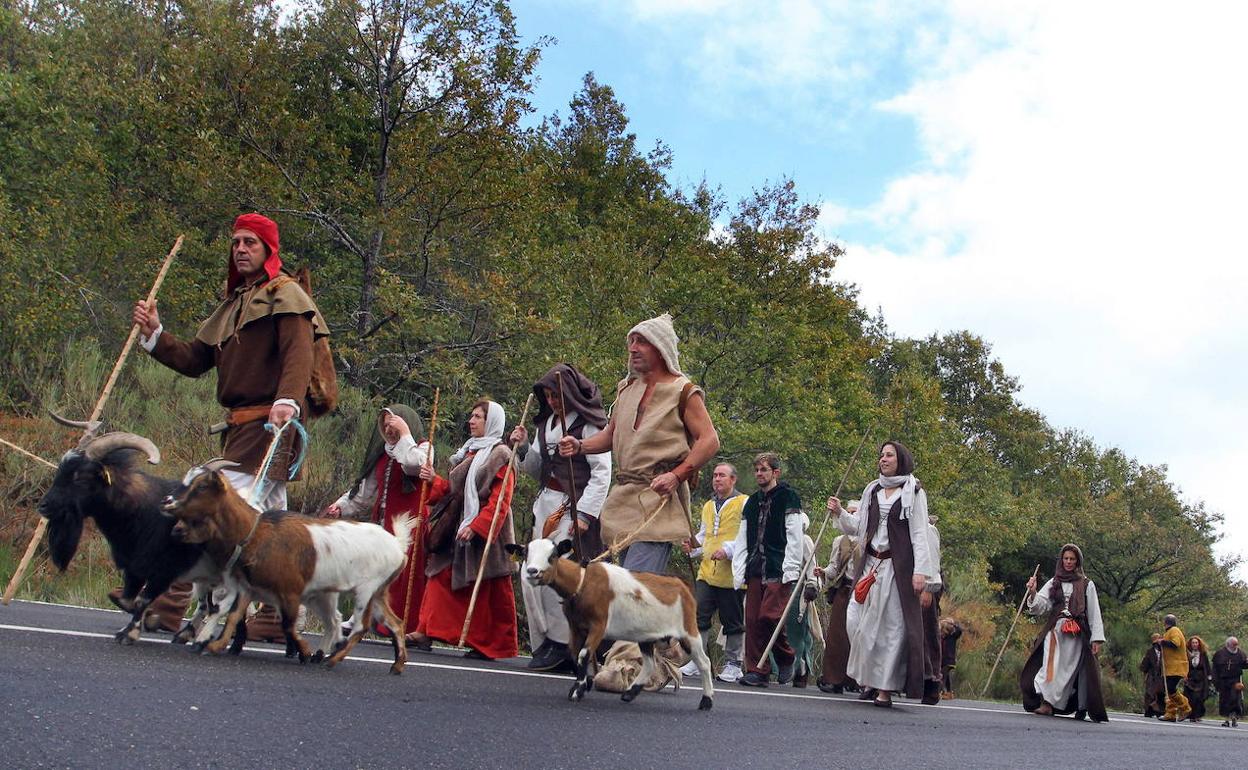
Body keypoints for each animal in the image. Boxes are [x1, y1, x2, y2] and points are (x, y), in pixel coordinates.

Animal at [158, 461, 414, 673]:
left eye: (201, 486)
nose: (167, 502)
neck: (255, 532)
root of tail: (397, 545)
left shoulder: (290, 592)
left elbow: (287, 625)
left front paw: (304, 651)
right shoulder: (248, 588)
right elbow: (232, 615)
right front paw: (214, 644)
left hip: (365, 590)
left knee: (360, 625)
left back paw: (332, 659)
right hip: (376, 592)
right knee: (394, 623)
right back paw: (396, 664)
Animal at [499, 534, 713, 708]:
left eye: (552, 556)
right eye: (525, 554)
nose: (532, 572)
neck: (582, 581)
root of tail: (682, 585)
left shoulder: (599, 625)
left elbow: (583, 654)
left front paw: (577, 691)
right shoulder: (575, 626)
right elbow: (574, 654)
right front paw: (585, 684)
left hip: (688, 631)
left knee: (704, 662)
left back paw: (707, 700)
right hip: (646, 635)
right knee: (650, 663)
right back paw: (629, 693)